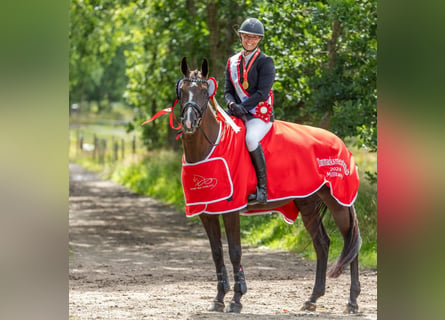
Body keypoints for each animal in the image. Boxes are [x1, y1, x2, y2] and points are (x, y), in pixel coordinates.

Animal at [175, 57, 360, 312]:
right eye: (182, 91)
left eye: (204, 92)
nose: (189, 123)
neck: (209, 148)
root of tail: (339, 141)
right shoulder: (206, 212)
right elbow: (216, 252)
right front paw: (219, 299)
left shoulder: (231, 210)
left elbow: (234, 252)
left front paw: (236, 299)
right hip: (307, 204)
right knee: (322, 244)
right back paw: (312, 299)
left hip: (338, 202)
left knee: (352, 242)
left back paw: (352, 302)